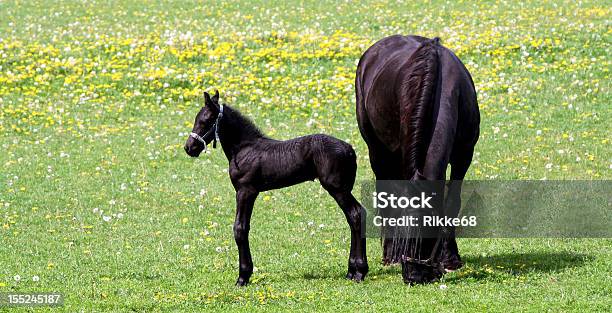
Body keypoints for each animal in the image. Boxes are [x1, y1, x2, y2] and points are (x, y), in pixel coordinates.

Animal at [184, 90, 368, 286]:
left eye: (206, 120)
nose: (189, 147)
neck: (244, 149)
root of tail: (349, 149)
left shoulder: (246, 191)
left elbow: (240, 228)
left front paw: (243, 276)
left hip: (337, 188)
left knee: (356, 214)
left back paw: (359, 271)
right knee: (353, 217)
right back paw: (351, 271)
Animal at [356, 36, 480, 282]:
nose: (414, 276)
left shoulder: (464, 156)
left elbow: (452, 203)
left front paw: (451, 259)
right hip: (377, 151)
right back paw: (389, 255)